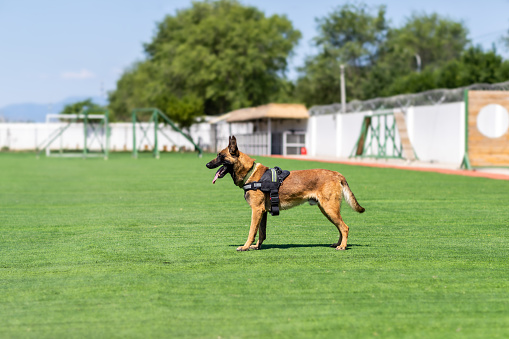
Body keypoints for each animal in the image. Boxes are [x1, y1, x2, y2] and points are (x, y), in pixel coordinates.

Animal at [206, 136, 366, 252]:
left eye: (220, 156)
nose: (207, 164)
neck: (250, 172)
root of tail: (336, 174)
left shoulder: (256, 210)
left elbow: (252, 231)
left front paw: (245, 247)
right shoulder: (263, 212)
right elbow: (261, 232)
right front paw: (256, 246)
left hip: (329, 209)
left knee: (344, 227)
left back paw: (343, 246)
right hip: (327, 210)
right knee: (340, 227)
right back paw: (338, 244)